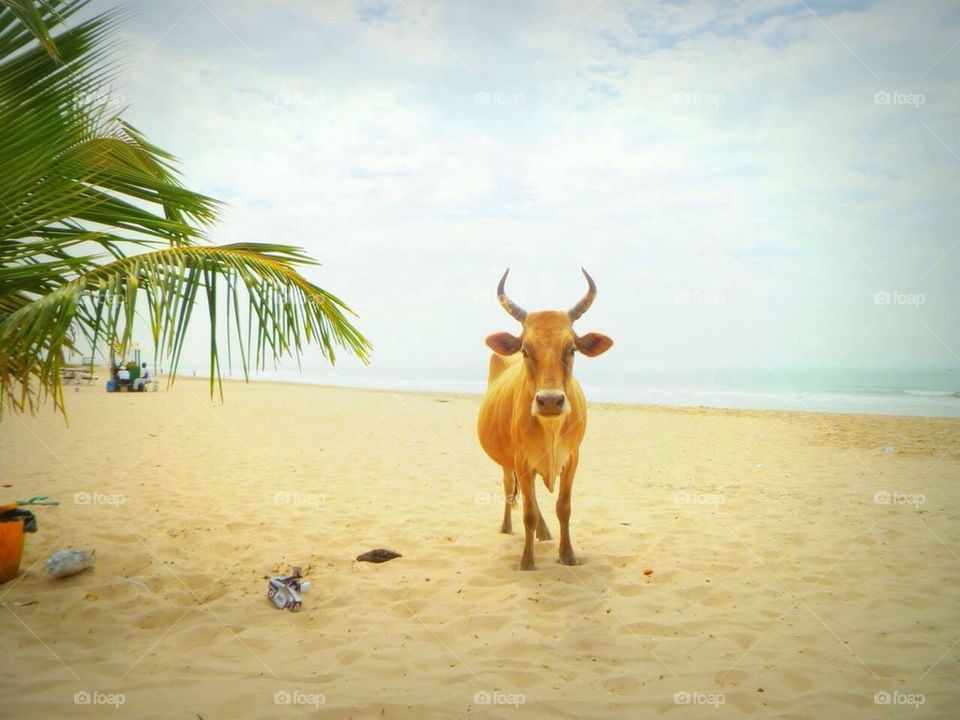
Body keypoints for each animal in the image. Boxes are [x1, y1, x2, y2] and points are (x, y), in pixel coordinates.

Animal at [477, 268, 613, 570]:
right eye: (525, 350)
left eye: (571, 349)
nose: (550, 401)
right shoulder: (521, 461)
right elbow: (528, 512)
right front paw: (527, 562)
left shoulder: (572, 458)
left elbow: (564, 507)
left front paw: (568, 555)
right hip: (507, 463)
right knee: (510, 490)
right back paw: (507, 526)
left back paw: (545, 532)